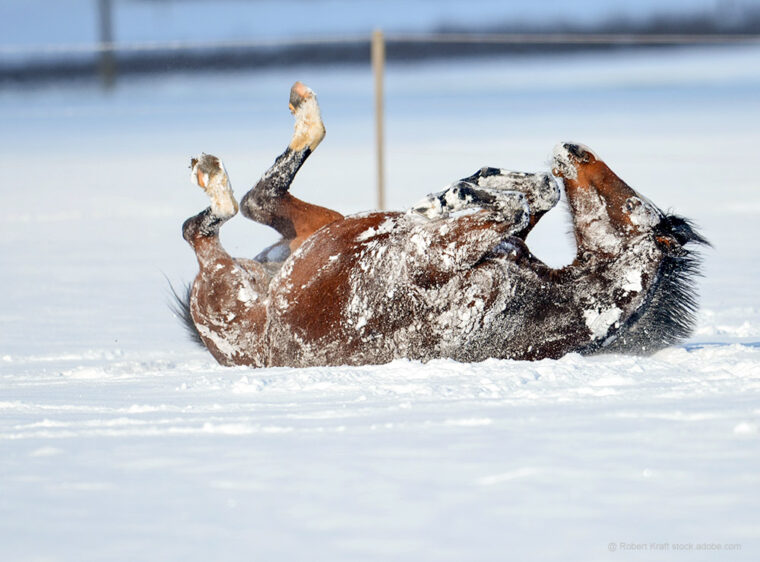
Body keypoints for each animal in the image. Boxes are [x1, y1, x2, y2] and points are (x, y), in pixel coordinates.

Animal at [174, 81, 708, 366]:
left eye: (629, 204)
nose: (575, 149)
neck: (542, 298)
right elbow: (536, 197)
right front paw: (481, 180)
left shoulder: (430, 259)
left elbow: (514, 207)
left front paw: (443, 200)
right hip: (320, 229)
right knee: (257, 202)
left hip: (229, 282)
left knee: (215, 220)